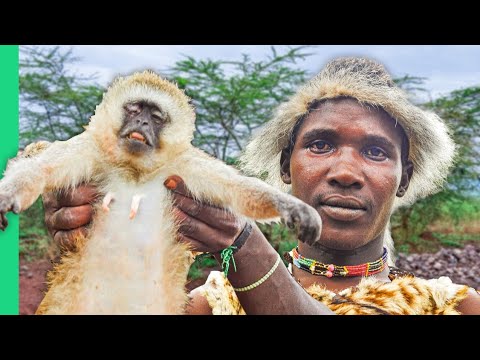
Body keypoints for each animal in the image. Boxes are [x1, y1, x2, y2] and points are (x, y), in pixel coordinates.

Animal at [0, 70, 322, 312]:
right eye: (133, 109)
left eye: (155, 117)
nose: (141, 122)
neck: (135, 171)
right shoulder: (92, 148)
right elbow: (38, 169)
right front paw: (7, 195)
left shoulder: (181, 164)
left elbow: (237, 189)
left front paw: (291, 206)